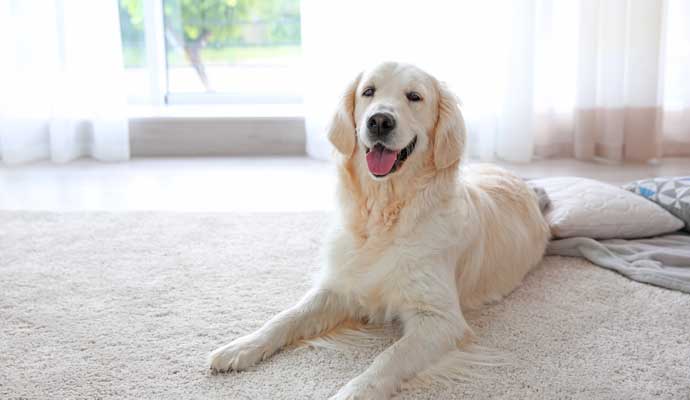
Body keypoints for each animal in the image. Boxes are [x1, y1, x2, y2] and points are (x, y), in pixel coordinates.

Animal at [207, 62, 544, 400]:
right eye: (368, 91)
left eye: (414, 96)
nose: (379, 121)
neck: (383, 214)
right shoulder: (339, 286)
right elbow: (286, 317)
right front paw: (241, 346)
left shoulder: (440, 318)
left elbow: (390, 356)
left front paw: (354, 392)